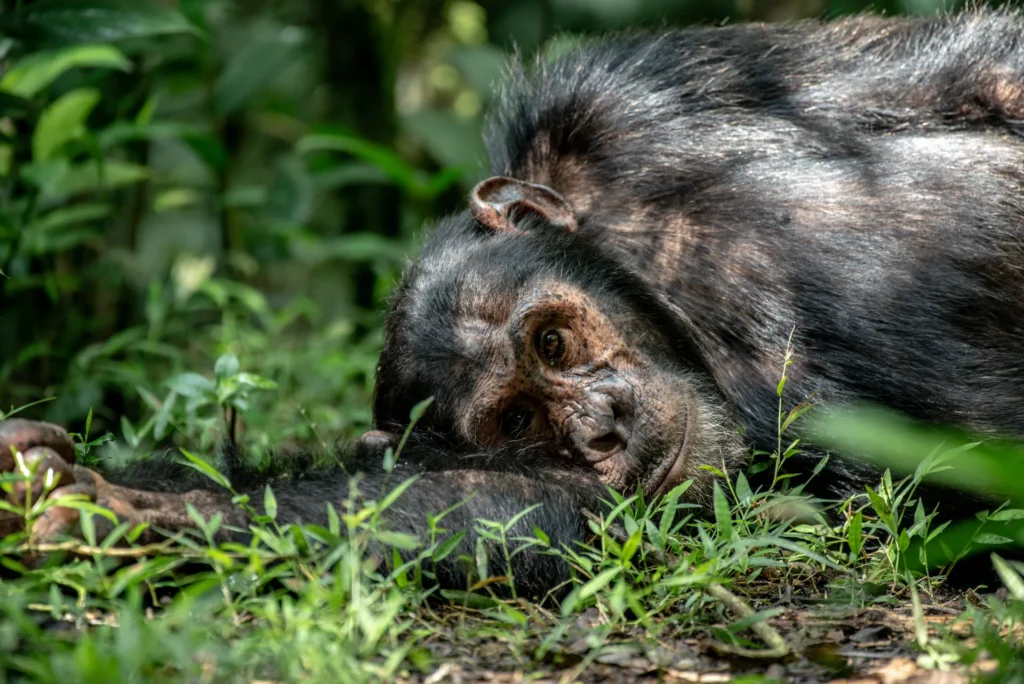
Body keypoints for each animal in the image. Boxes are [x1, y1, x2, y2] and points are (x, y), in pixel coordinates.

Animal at [5, 10, 1024, 596]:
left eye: (554, 342)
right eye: (523, 421)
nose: (605, 424)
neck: (673, 298)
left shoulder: (621, 101)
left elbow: (966, 68)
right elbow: (515, 507)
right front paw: (130, 509)